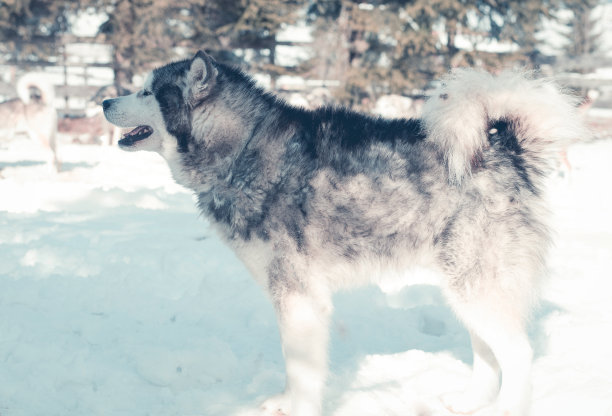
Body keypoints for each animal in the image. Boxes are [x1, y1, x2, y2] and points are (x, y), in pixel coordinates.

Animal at [103, 52, 584, 416]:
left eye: (147, 92)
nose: (105, 100)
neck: (241, 150)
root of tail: (505, 148)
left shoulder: (297, 296)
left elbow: (301, 371)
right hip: (467, 290)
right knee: (487, 354)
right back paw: (468, 404)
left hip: (476, 286)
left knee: (517, 355)